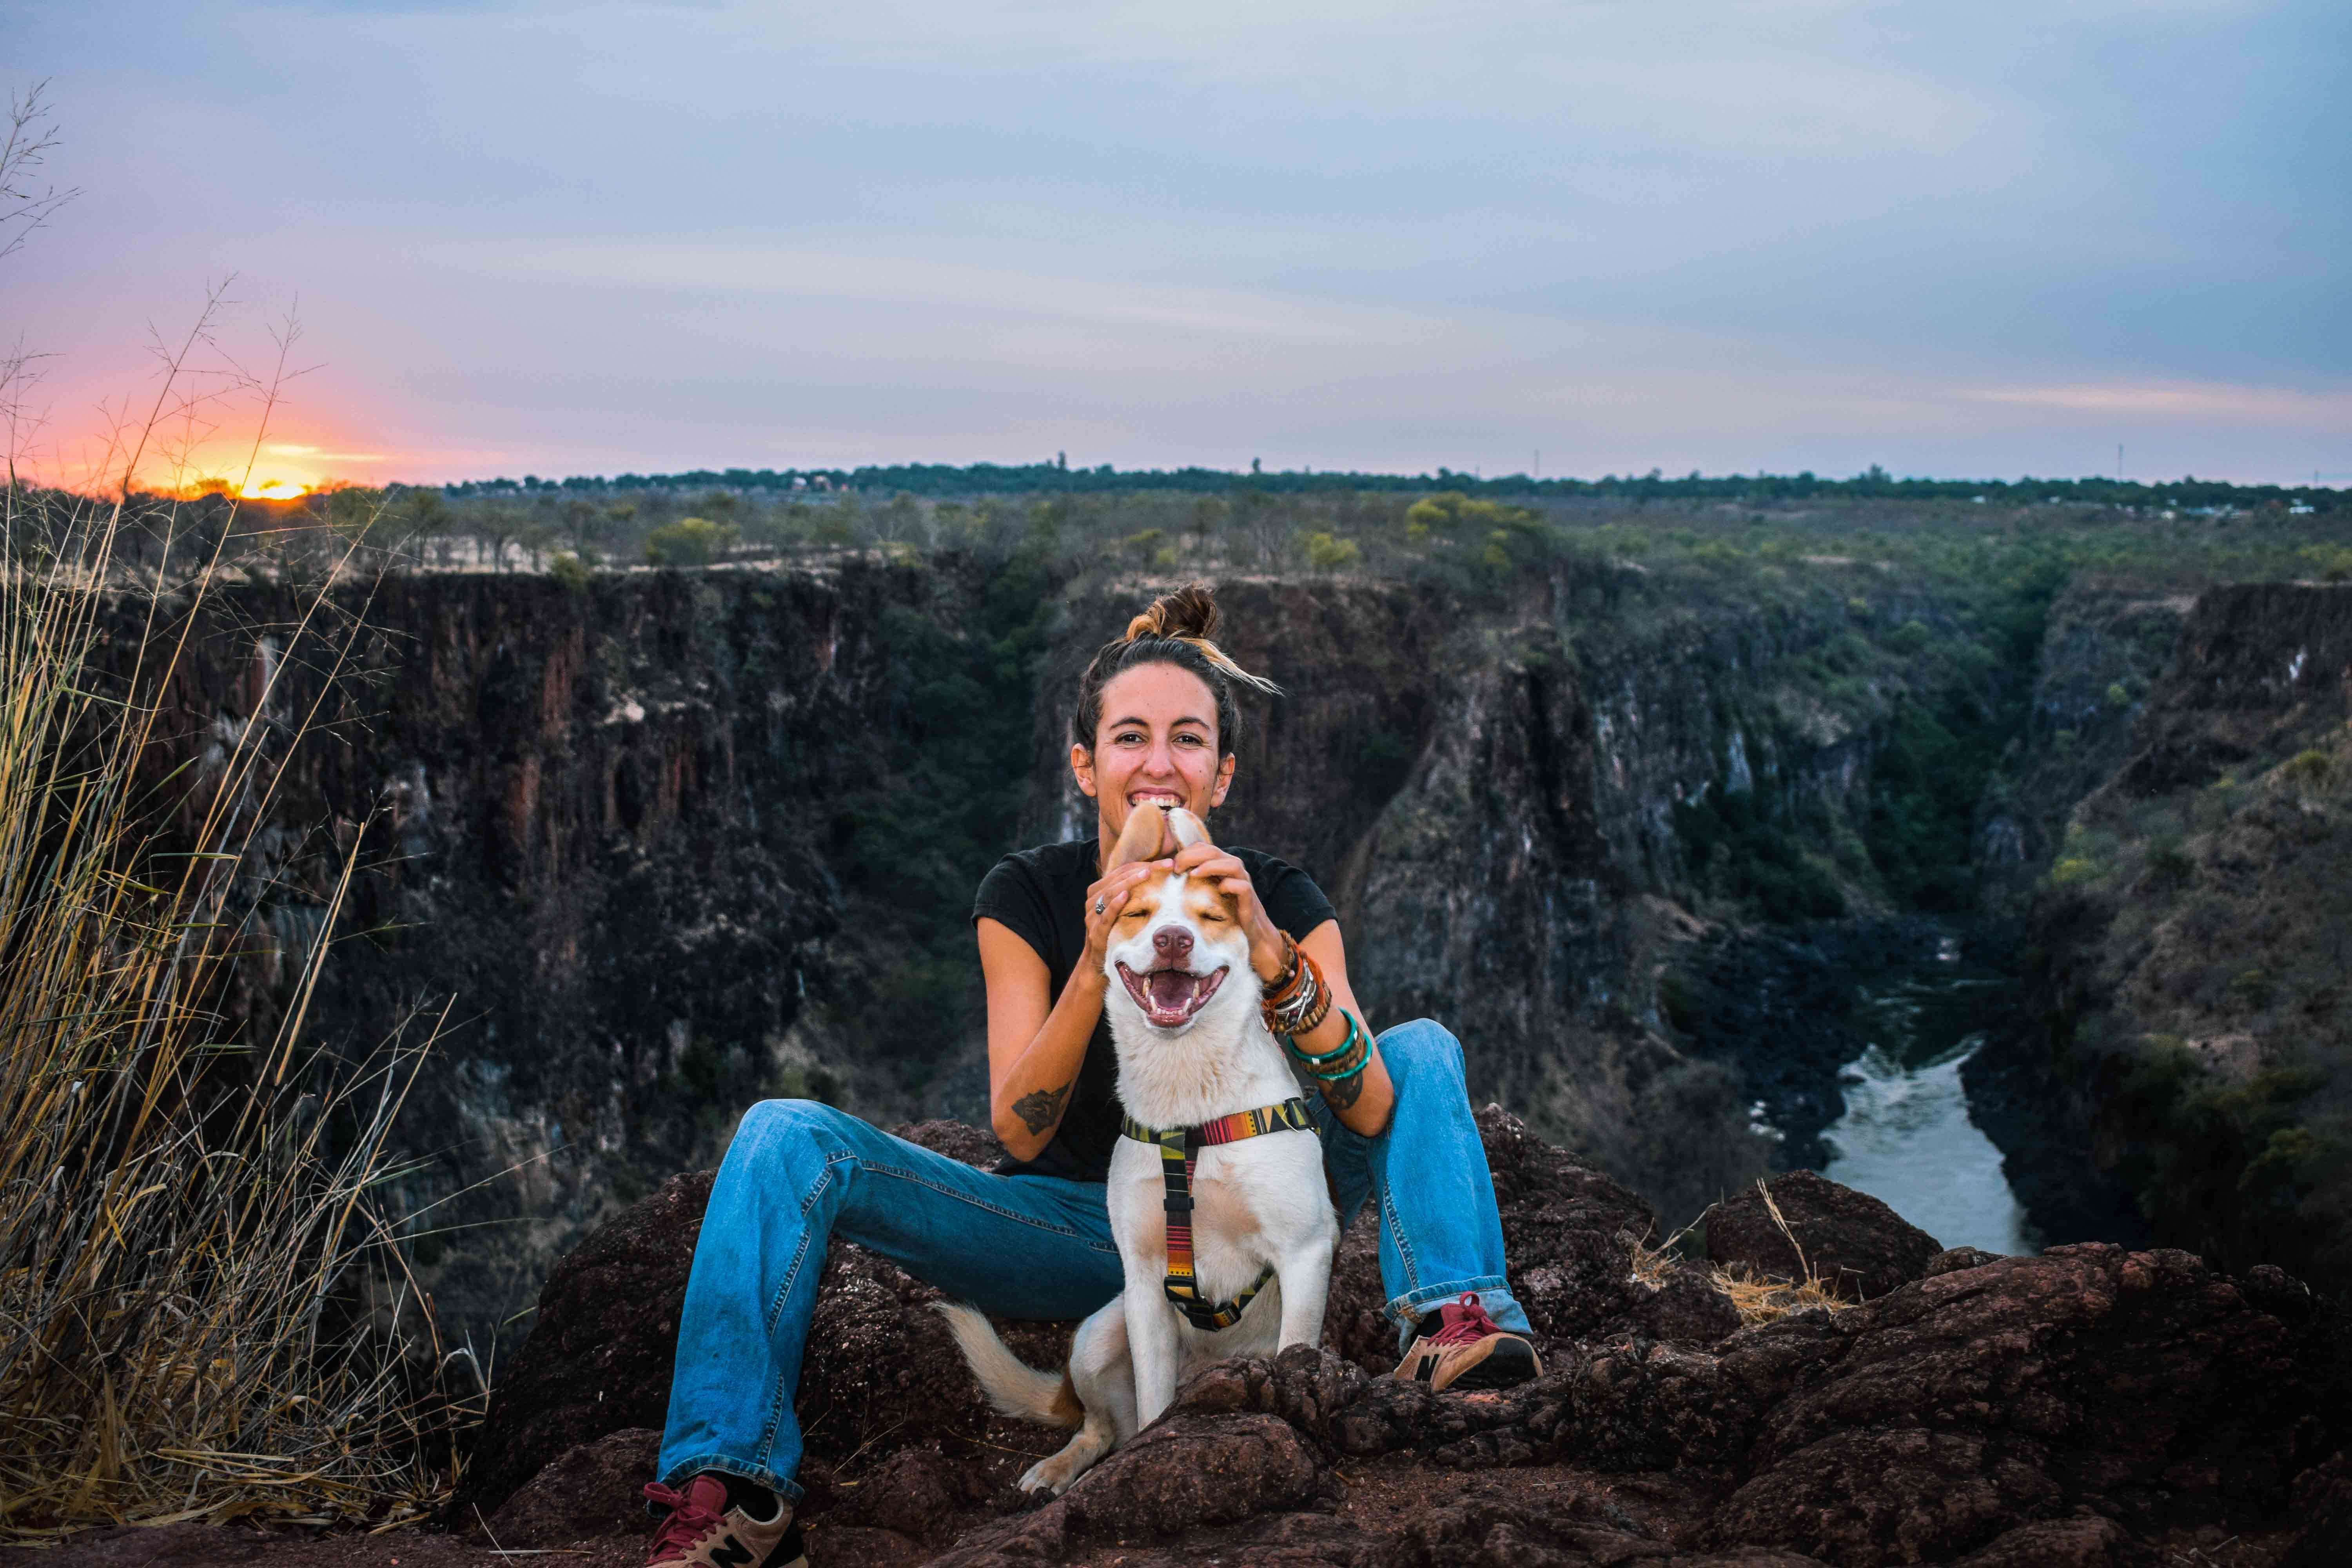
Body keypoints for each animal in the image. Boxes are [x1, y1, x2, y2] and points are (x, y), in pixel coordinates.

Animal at [941, 808, 1345, 1495]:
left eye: (1211, 916)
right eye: (1137, 913)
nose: (1174, 940)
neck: (1190, 1110)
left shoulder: (1304, 1252)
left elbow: (1296, 1351)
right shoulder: (1146, 1280)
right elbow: (1155, 1404)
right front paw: (1155, 1452)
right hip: (1098, 1335)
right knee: (1102, 1428)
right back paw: (1060, 1468)